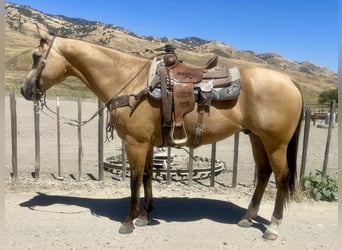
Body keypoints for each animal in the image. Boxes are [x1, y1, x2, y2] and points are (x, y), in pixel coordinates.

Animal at [20, 26, 302, 240]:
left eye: (35, 56)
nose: (24, 90)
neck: (128, 80)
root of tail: (290, 81)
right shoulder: (147, 143)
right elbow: (147, 176)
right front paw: (145, 215)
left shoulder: (135, 143)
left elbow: (134, 180)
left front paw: (128, 221)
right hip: (257, 138)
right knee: (264, 174)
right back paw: (247, 218)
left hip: (275, 143)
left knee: (281, 177)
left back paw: (273, 227)